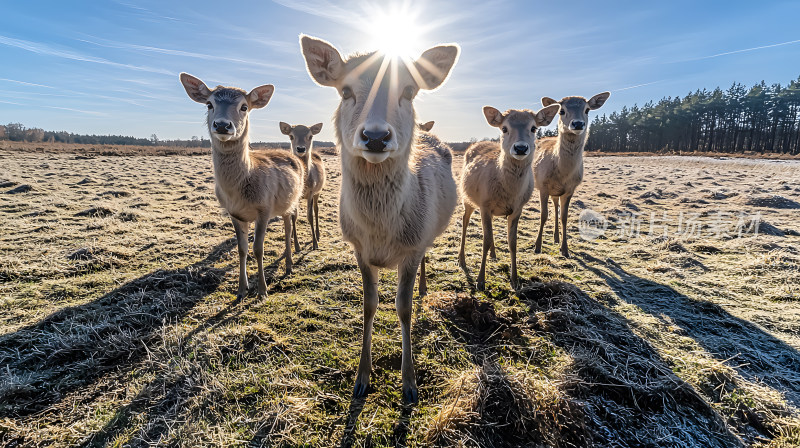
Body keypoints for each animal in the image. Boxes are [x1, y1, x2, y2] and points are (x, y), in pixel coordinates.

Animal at [180, 72, 304, 298]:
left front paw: (262, 290)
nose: (222, 125)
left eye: (244, 106)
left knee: (288, 227)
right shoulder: (234, 214)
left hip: (290, 201)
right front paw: (241, 289)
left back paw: (289, 265)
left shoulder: (265, 208)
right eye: (209, 104)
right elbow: (242, 249)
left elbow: (258, 249)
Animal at [276, 121, 324, 250]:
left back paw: (318, 234)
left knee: (316, 209)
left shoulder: (312, 192)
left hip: (318, 191)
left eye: (310, 136)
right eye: (291, 136)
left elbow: (310, 216)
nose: (301, 148)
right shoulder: (294, 196)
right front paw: (297, 246)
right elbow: (294, 216)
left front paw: (315, 244)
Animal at [300, 33, 460, 400]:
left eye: (409, 91)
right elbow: (369, 305)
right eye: (345, 90)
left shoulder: (412, 248)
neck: (381, 232)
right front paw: (362, 378)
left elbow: (403, 308)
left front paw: (409, 383)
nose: (375, 137)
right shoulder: (359, 249)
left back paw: (424, 287)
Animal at [460, 104, 560, 290]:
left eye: (533, 128)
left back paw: (493, 254)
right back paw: (461, 260)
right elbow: (485, 240)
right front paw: (480, 281)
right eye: (504, 128)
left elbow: (512, 242)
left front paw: (515, 280)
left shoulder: (518, 208)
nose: (520, 148)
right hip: (467, 197)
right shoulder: (484, 205)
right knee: (465, 221)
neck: (509, 193)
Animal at [536, 92, 608, 258]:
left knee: (556, 207)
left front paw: (565, 249)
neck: (563, 174)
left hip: (556, 192)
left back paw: (556, 238)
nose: (578, 124)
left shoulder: (570, 189)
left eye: (587, 110)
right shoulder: (542, 185)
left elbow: (564, 217)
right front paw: (537, 247)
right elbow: (543, 215)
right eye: (561, 111)